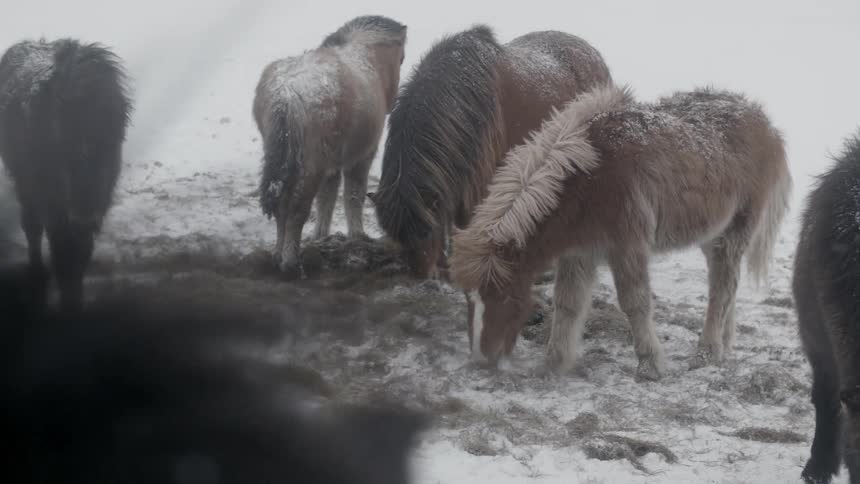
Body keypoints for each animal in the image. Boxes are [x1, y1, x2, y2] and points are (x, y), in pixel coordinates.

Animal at [0, 38, 132, 312]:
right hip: (26, 187)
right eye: (59, 130)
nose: (83, 213)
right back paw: (37, 271)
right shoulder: (53, 204)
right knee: (32, 226)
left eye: (113, 138)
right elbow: (62, 250)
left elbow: (80, 252)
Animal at [253, 15, 407, 277]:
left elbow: (327, 199)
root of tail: (287, 94)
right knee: (296, 210)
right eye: (401, 58)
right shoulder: (361, 157)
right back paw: (291, 264)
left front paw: (321, 237)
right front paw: (358, 236)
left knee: (283, 209)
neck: (366, 58)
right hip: (310, 166)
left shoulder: (331, 166)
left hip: (289, 163)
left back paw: (278, 256)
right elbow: (353, 195)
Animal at [449, 83, 792, 381]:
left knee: (722, 289)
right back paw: (724, 346)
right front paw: (553, 364)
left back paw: (706, 353)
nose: (482, 358)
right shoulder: (578, 253)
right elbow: (567, 304)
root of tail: (767, 125)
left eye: (503, 295)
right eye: (469, 299)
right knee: (726, 286)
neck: (589, 178)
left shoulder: (627, 247)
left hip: (735, 232)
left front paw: (650, 365)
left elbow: (635, 303)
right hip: (713, 235)